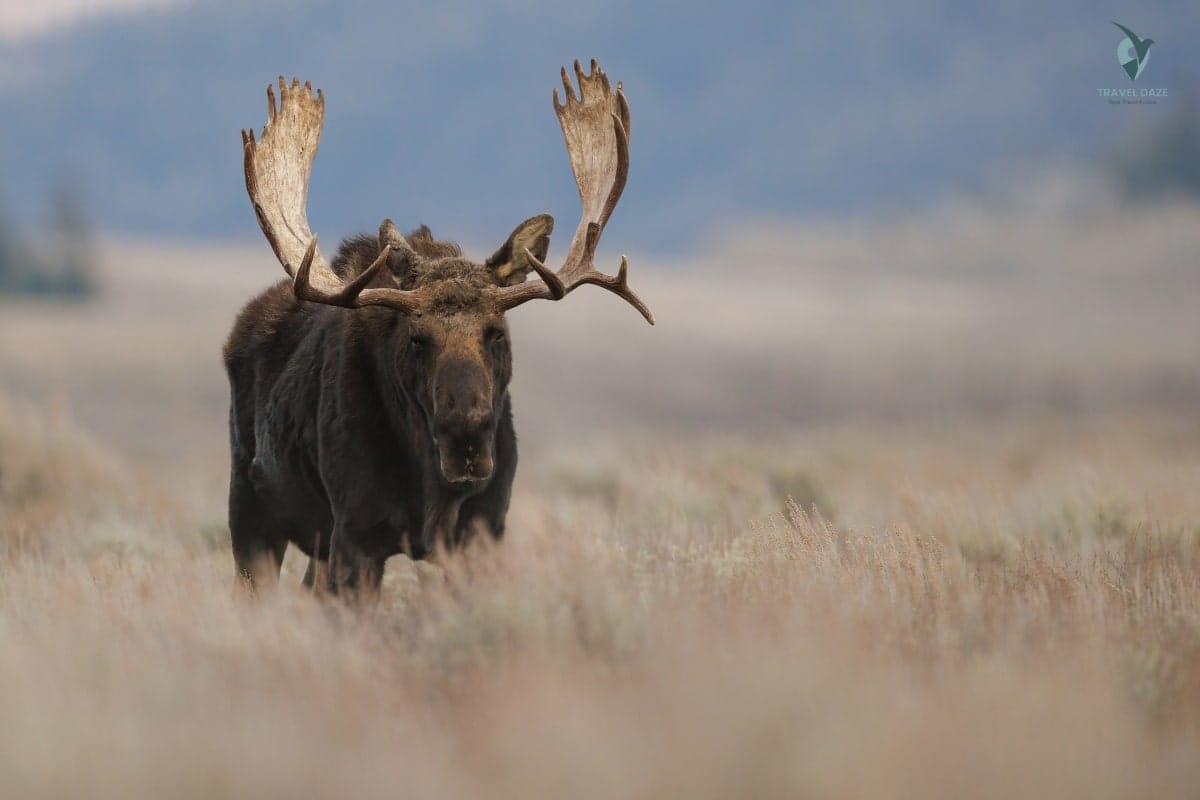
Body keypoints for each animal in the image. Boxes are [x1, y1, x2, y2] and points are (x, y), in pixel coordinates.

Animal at [225, 59, 657, 597]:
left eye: (497, 332)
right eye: (417, 338)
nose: (465, 437)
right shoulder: (356, 534)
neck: (432, 490)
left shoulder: (483, 531)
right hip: (250, 511)